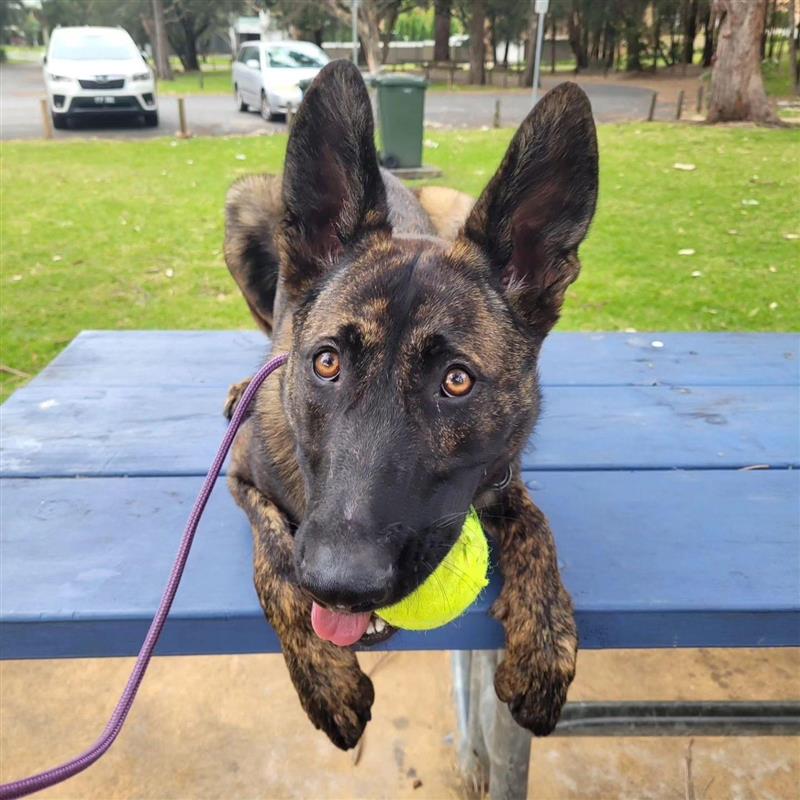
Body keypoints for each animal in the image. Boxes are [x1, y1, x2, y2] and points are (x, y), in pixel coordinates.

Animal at [222, 57, 596, 752]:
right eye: (327, 363)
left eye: (457, 381)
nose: (342, 587)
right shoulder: (239, 479)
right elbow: (277, 560)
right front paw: (324, 673)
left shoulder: (501, 474)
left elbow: (537, 527)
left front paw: (545, 640)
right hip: (246, 205)